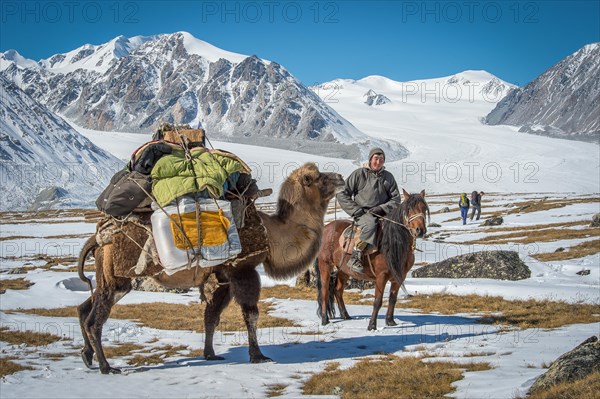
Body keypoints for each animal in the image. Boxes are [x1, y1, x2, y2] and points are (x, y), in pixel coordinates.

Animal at [316, 190, 428, 332]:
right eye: (408, 210)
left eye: (424, 208)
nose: (420, 230)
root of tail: (326, 229)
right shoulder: (381, 276)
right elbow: (378, 301)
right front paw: (372, 325)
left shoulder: (399, 277)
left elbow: (393, 299)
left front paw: (390, 321)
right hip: (325, 266)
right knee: (325, 291)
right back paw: (325, 320)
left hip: (343, 270)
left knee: (338, 290)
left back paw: (346, 315)